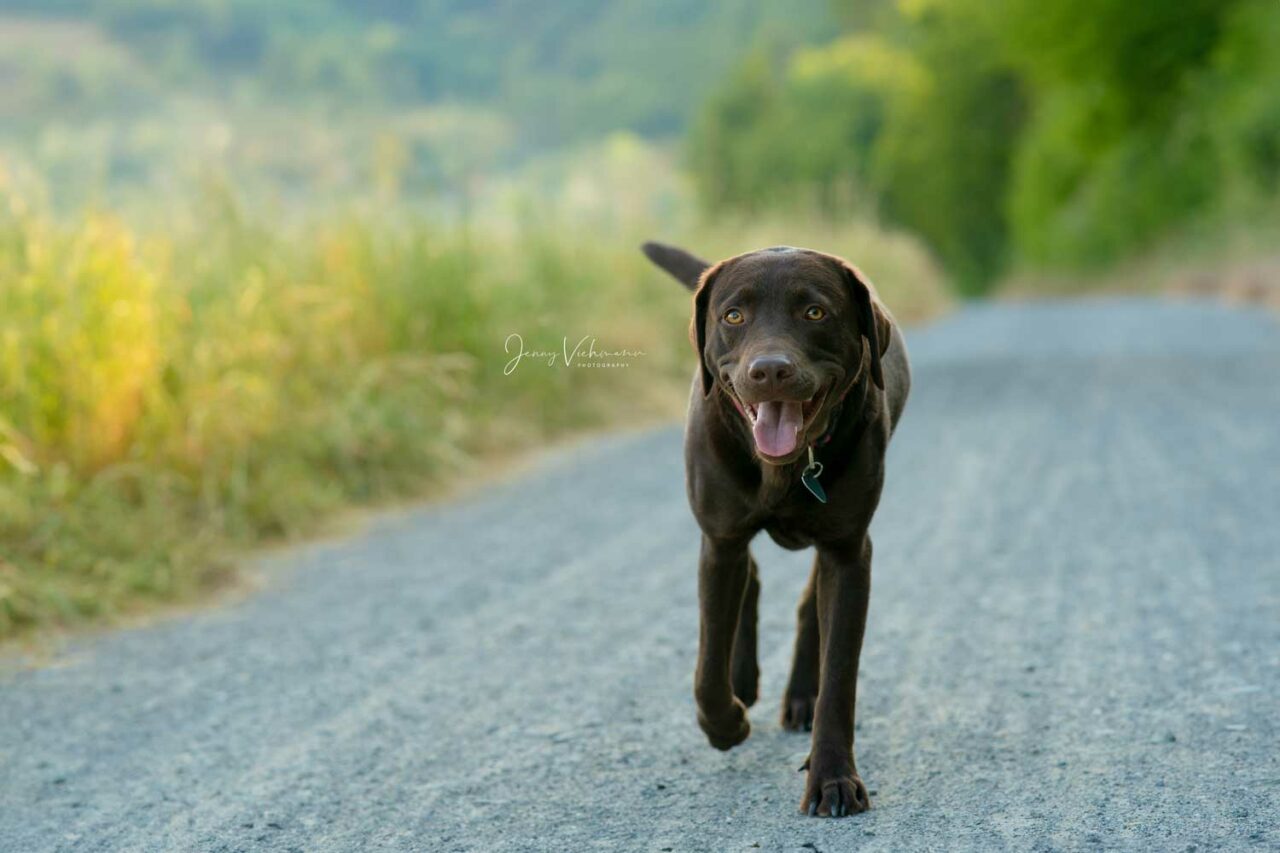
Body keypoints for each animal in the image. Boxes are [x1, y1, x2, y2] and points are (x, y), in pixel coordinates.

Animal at [640, 240, 911, 819]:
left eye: (815, 312)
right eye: (732, 316)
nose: (769, 370)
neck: (786, 469)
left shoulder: (848, 552)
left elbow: (840, 677)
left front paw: (832, 777)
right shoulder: (719, 541)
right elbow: (707, 667)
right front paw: (726, 723)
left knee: (808, 604)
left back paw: (800, 695)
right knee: (749, 585)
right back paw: (743, 680)